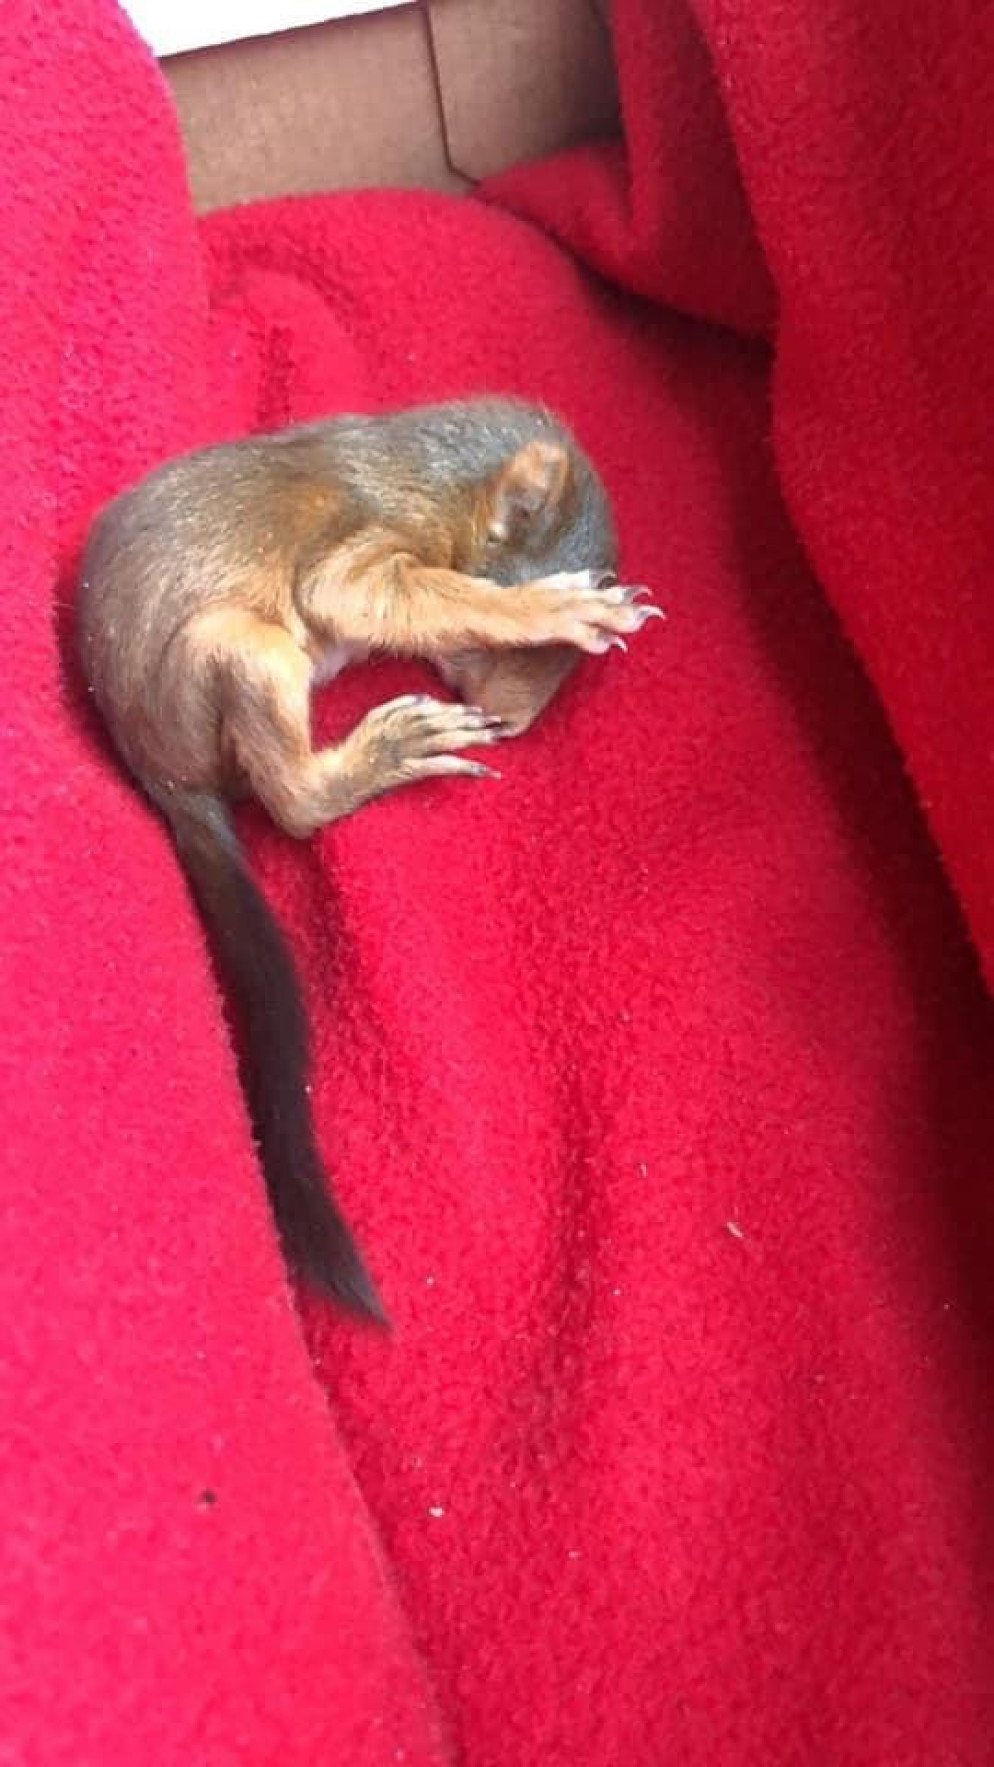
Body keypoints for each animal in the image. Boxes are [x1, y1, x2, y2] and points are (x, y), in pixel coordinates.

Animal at [77, 396, 662, 1325]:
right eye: (510, 639)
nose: (510, 721)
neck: (421, 469)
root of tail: (162, 772)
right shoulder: (362, 541)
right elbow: (374, 592)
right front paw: (555, 608)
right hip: (241, 648)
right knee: (293, 800)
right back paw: (389, 750)